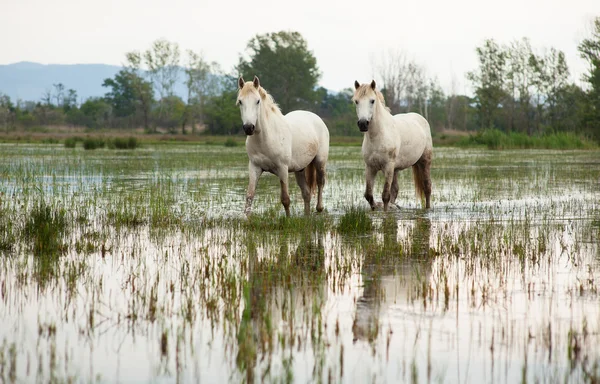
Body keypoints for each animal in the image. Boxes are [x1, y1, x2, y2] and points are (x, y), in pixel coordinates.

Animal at [237, 76, 330, 218]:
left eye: (257, 101)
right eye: (240, 101)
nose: (248, 127)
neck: (266, 138)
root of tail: (317, 118)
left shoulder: (282, 169)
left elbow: (285, 199)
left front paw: (288, 219)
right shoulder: (254, 167)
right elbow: (249, 196)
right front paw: (245, 219)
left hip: (320, 162)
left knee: (320, 182)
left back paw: (319, 208)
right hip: (300, 169)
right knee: (306, 193)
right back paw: (306, 216)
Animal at [352, 80, 432, 210]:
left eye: (372, 101)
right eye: (356, 101)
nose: (363, 123)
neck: (378, 137)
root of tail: (420, 118)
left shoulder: (388, 167)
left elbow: (385, 195)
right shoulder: (370, 167)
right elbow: (369, 195)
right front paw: (375, 208)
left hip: (424, 161)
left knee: (427, 187)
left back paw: (428, 209)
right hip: (396, 169)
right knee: (395, 190)